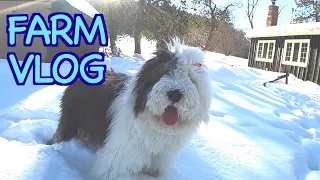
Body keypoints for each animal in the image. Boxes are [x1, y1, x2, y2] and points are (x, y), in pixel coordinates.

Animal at [48, 38, 211, 179]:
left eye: (190, 77)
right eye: (164, 73)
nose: (175, 94)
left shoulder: (157, 162)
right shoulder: (117, 159)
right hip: (71, 119)